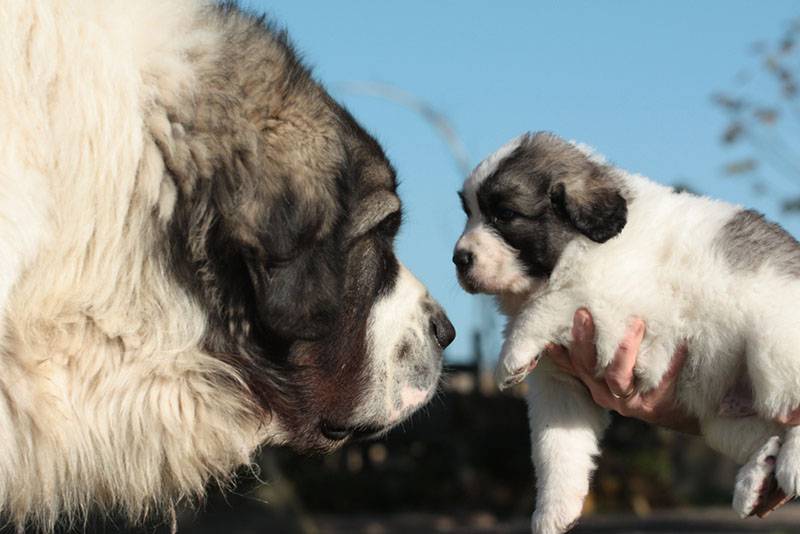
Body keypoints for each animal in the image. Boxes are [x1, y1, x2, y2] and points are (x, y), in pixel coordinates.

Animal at [454, 131, 800, 534]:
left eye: (505, 214)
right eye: (468, 212)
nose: (458, 259)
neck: (583, 246)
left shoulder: (620, 305)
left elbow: (558, 298)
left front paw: (512, 352)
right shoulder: (560, 385)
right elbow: (554, 447)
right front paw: (554, 513)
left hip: (771, 344)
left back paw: (789, 463)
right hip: (721, 417)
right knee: (766, 430)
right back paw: (756, 476)